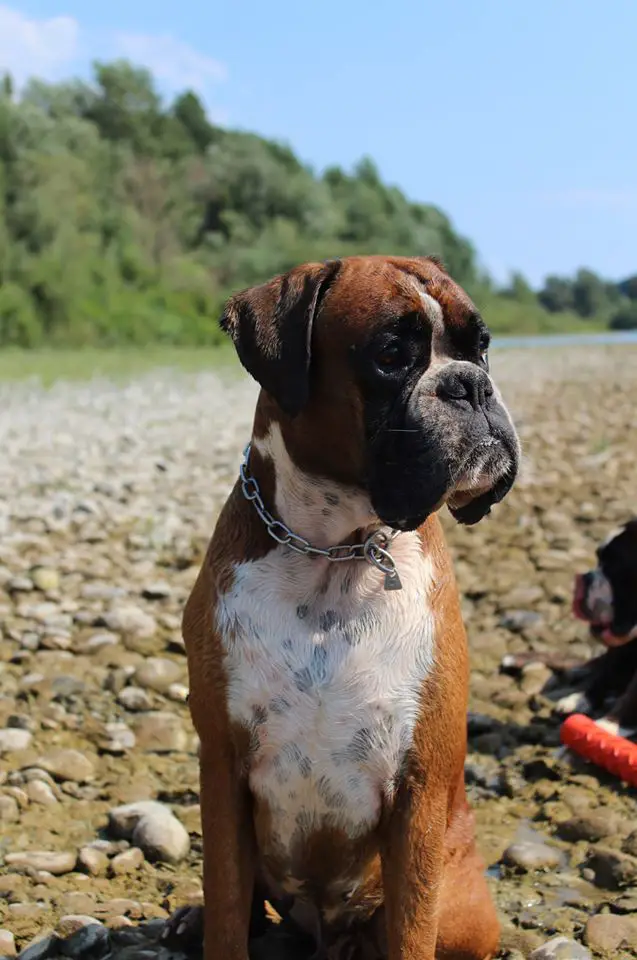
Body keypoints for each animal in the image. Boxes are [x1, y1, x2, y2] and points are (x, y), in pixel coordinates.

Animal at [168, 256, 516, 960]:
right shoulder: (222, 772)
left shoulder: (417, 792)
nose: (471, 385)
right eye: (390, 355)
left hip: (461, 910)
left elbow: (411, 931)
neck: (338, 554)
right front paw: (212, 923)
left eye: (482, 348)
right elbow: (227, 909)